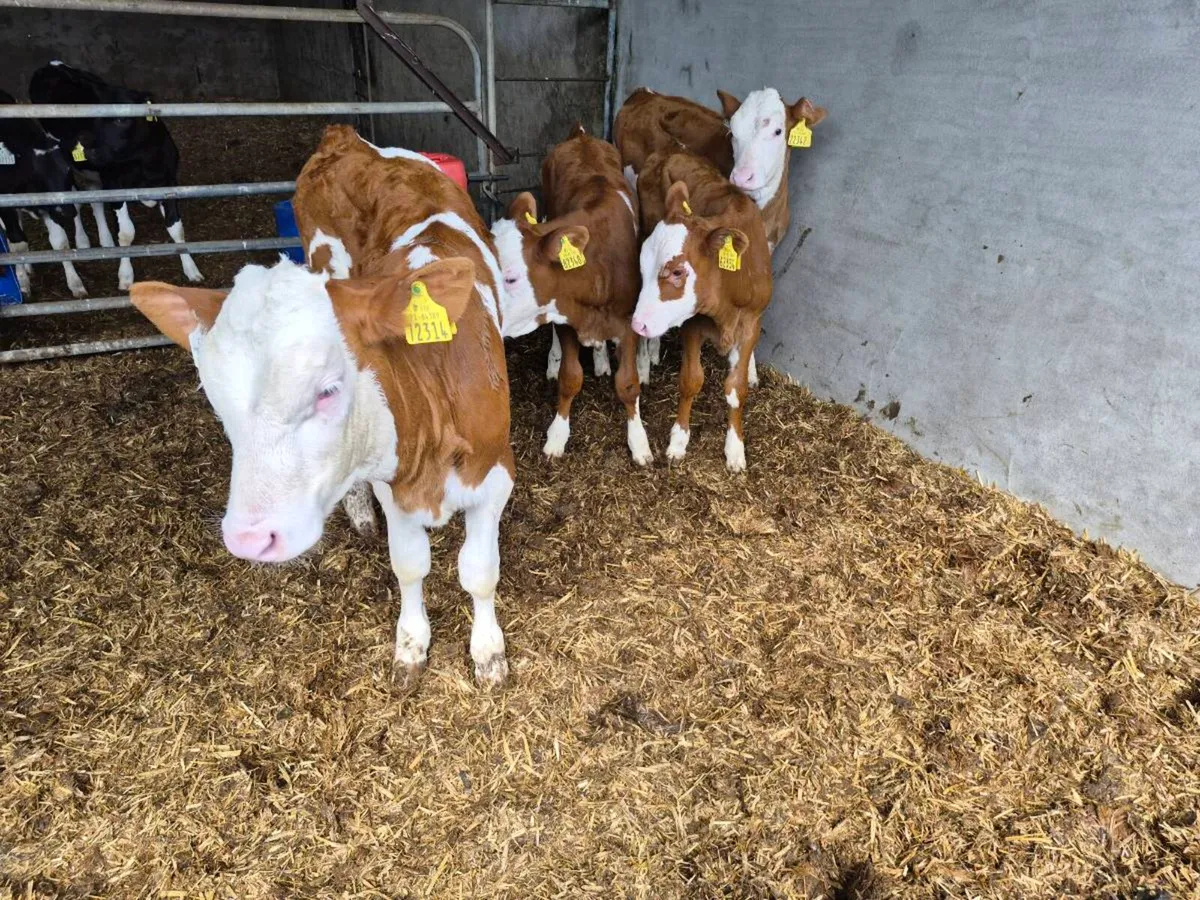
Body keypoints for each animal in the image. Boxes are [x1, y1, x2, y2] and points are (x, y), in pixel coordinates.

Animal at [0, 88, 89, 298]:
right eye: (36, 174)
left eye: (68, 169)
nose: (67, 212)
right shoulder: (6, 208)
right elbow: (17, 245)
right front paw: (23, 283)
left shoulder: (52, 205)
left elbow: (60, 243)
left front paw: (75, 283)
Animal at [30, 61, 203, 292]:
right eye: (94, 118)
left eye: (121, 118)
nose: (88, 149)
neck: (141, 160)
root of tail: (50, 65)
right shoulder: (115, 183)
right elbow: (127, 233)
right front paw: (126, 275)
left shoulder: (168, 181)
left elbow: (176, 228)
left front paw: (191, 268)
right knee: (74, 202)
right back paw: (83, 241)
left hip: (93, 172)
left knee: (94, 197)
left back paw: (105, 239)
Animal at [128, 125, 514, 690]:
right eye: (218, 402)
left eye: (328, 389)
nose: (248, 538)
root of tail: (346, 138)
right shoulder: (392, 484)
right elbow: (410, 564)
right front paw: (411, 644)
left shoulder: (495, 475)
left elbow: (479, 572)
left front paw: (487, 652)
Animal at [491, 124, 651, 465]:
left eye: (510, 277)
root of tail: (580, 135)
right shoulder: (565, 316)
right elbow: (570, 377)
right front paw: (557, 436)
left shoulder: (627, 323)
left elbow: (628, 384)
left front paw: (639, 442)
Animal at [631, 150, 772, 473]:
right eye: (642, 266)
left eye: (677, 271)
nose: (638, 323)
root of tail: (669, 151)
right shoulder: (693, 325)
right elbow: (691, 380)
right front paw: (678, 441)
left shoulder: (751, 322)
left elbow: (736, 388)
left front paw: (735, 449)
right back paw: (645, 361)